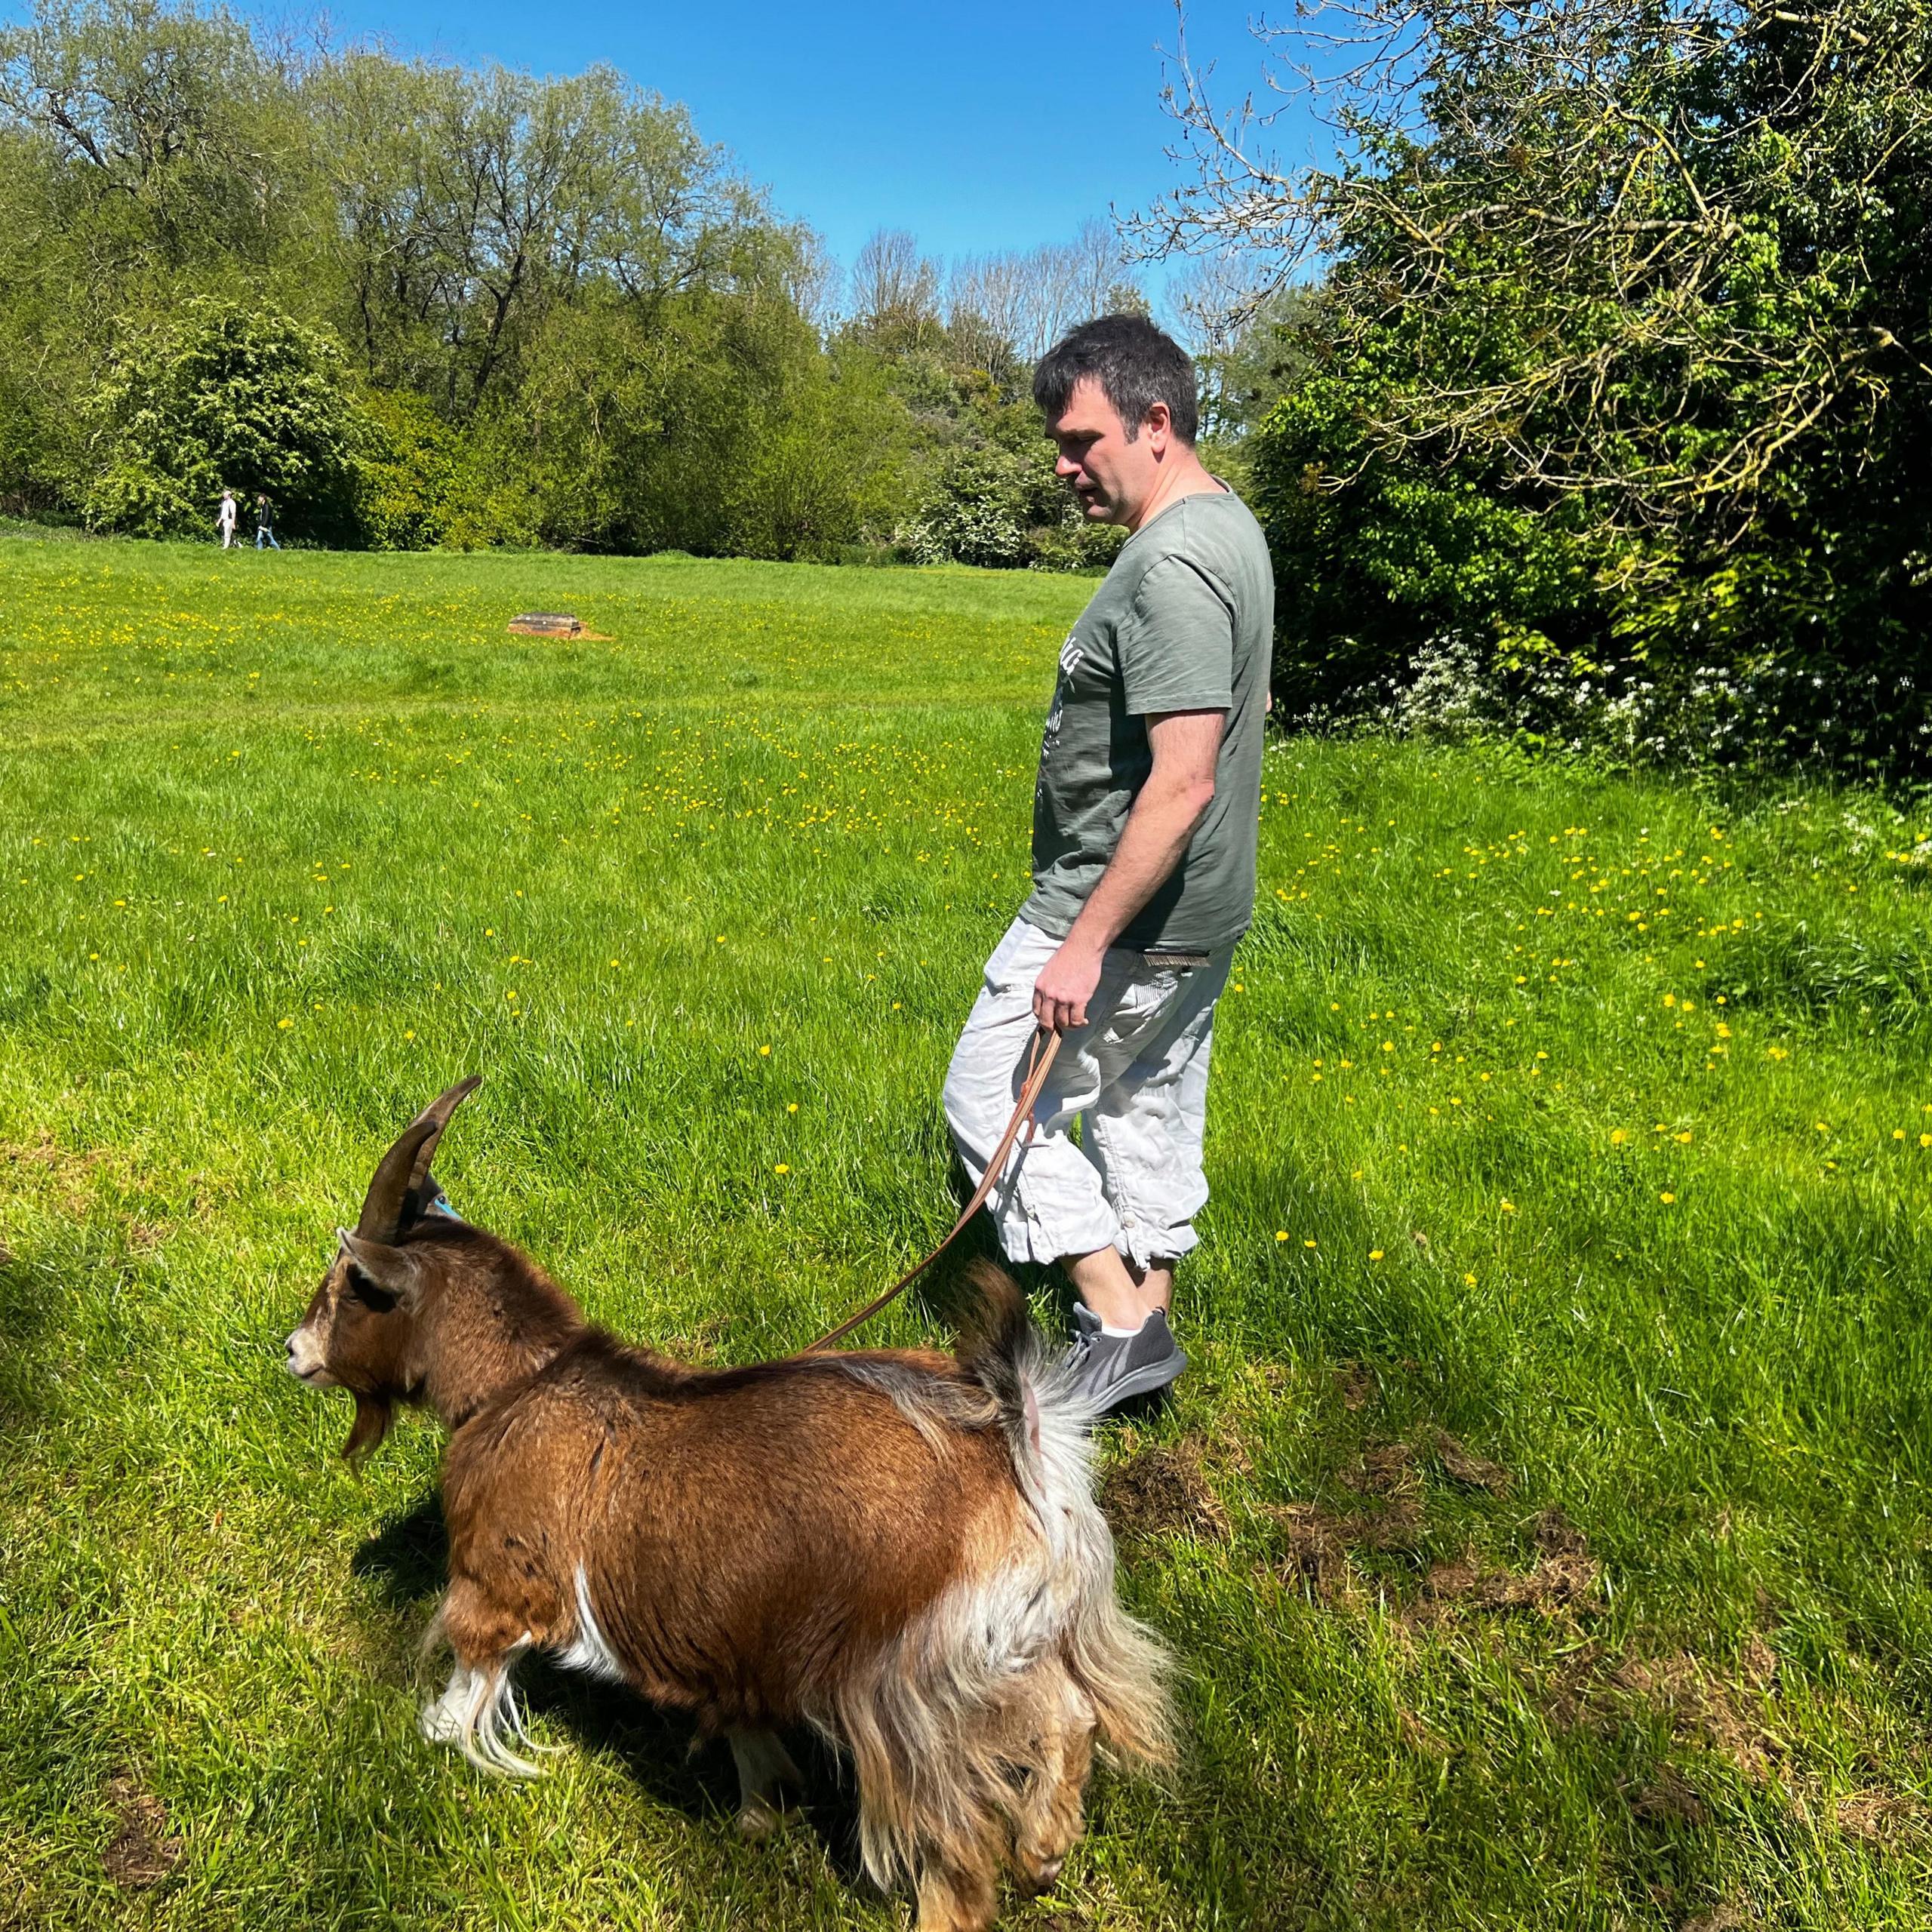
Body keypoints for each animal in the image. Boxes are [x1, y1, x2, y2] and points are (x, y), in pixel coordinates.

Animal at [280, 1081, 1167, 1924]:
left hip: (910, 1684)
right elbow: (746, 1732)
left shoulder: (498, 1583)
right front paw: (760, 1815)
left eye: (350, 1287)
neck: (517, 1386)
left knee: (961, 1850)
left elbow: (470, 1669)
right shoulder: (735, 1641)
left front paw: (435, 1737)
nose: (292, 1350)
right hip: (1015, 1638)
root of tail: (1022, 1441)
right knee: (1071, 1712)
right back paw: (1046, 1849)